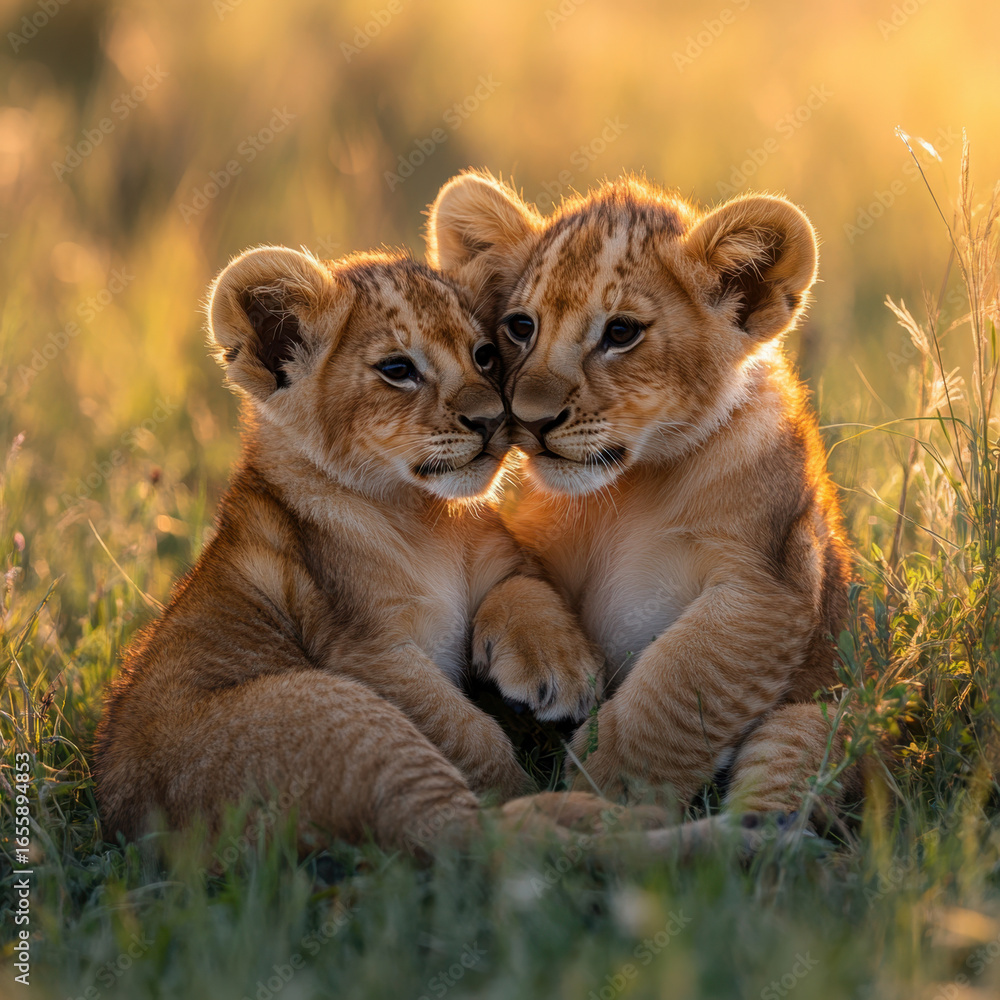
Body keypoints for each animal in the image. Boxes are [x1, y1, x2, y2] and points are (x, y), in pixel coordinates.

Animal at [427, 171, 858, 821]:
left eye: (621, 333)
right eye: (521, 326)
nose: (528, 419)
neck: (629, 489)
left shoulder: (770, 586)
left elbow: (677, 690)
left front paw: (608, 794)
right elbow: (518, 582)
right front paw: (551, 665)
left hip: (820, 719)